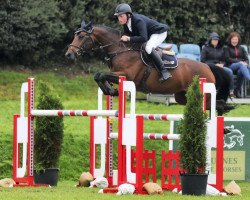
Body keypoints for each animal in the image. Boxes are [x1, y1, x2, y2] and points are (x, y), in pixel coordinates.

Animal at [65, 21, 233, 115]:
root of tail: (207, 66)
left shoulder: (126, 76)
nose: (69, 55)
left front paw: (112, 90)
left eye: (81, 36)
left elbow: (100, 74)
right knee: (209, 105)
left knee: (213, 104)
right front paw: (111, 91)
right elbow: (98, 76)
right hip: (182, 96)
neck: (120, 50)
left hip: (202, 92)